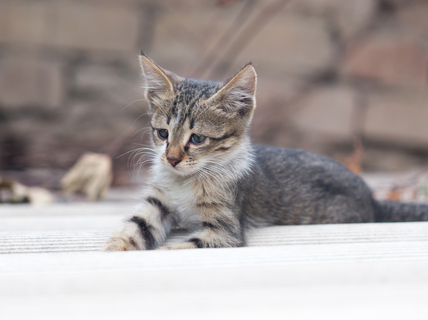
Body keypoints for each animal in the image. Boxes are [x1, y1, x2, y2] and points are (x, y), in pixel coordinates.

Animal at [103, 53, 428, 251]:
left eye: (196, 138)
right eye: (162, 134)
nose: (170, 159)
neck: (186, 182)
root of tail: (373, 200)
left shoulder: (225, 231)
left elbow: (182, 246)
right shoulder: (158, 203)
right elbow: (134, 227)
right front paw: (116, 247)